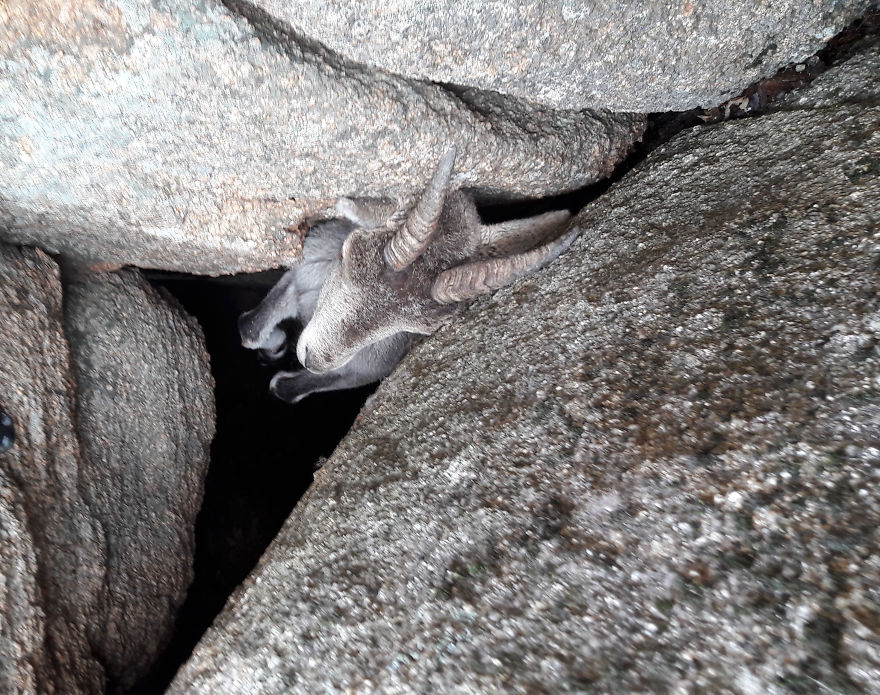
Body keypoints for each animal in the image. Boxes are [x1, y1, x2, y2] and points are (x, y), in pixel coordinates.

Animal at [240, 148, 577, 403]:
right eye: (346, 255)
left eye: (414, 328)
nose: (312, 358)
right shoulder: (300, 273)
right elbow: (250, 328)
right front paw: (272, 342)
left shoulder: (366, 370)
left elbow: (284, 387)